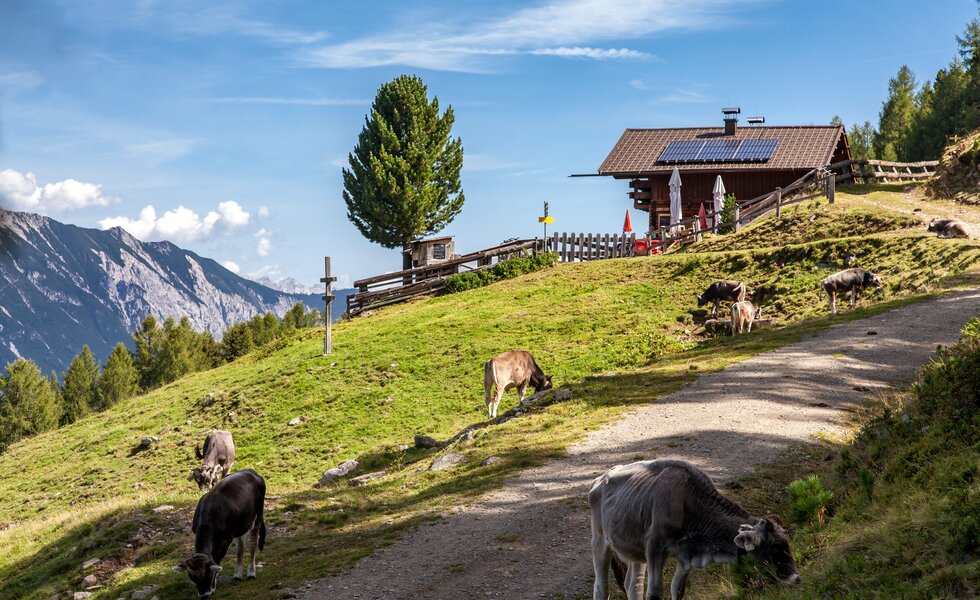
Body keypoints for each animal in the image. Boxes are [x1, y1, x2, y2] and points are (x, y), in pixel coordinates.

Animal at [588, 462, 796, 596]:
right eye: (776, 547)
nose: (796, 578)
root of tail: (600, 479)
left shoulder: (686, 557)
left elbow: (678, 590)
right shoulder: (655, 548)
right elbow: (655, 592)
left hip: (635, 550)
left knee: (633, 585)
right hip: (599, 541)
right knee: (601, 587)